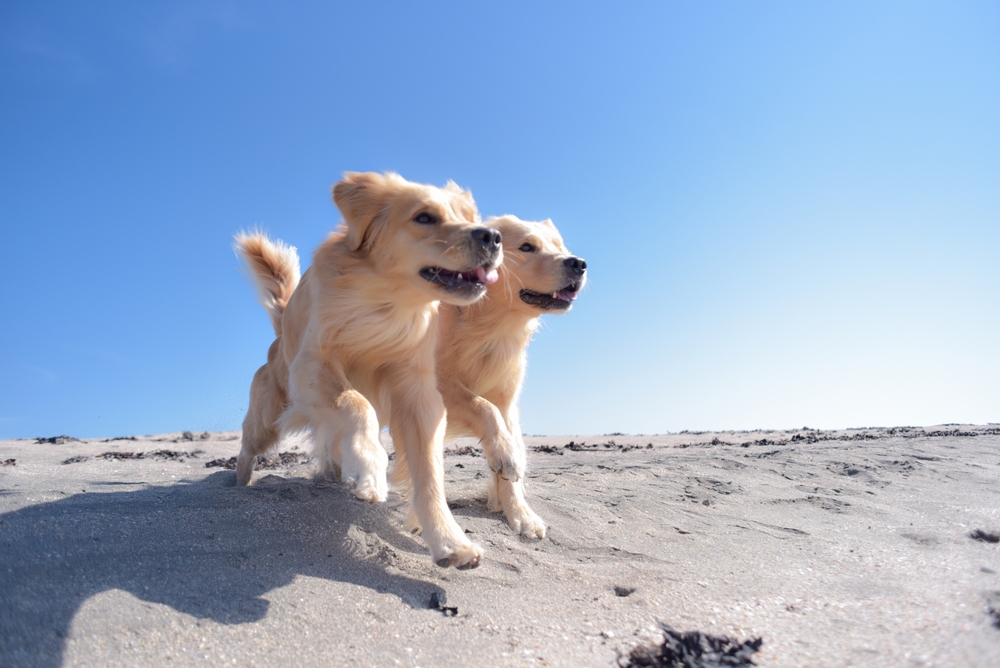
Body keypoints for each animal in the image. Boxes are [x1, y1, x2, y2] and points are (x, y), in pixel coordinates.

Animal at [233, 172, 500, 568]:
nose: (494, 237)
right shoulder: (312, 366)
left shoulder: (417, 395)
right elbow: (357, 403)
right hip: (267, 418)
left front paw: (450, 540)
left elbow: (430, 473)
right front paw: (369, 468)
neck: (385, 307)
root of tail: (279, 336)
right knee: (247, 449)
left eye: (469, 217)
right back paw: (239, 485)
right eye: (424, 217)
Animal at [438, 217, 584, 540]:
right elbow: (484, 408)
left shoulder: (506, 399)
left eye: (561, 247)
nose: (579, 263)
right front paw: (506, 458)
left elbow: (506, 444)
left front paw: (521, 515)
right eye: (527, 247)